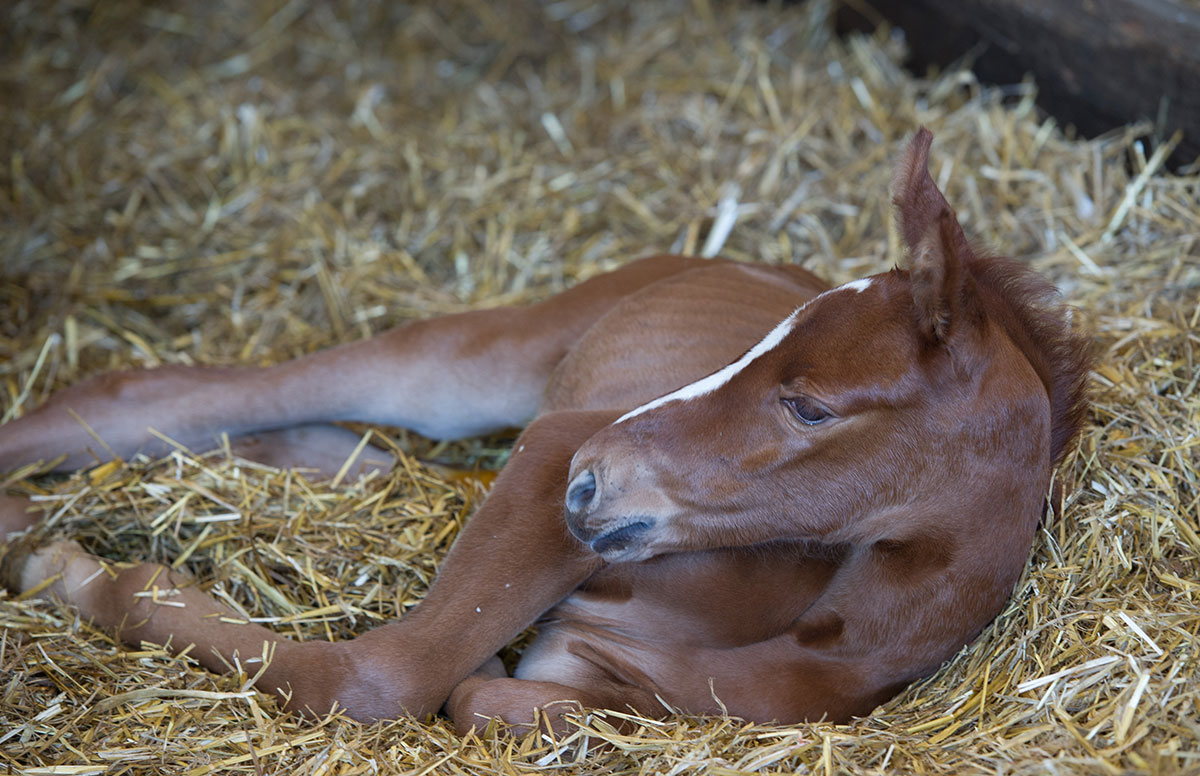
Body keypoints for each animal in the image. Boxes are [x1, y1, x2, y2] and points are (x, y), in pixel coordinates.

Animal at [0, 131, 1089, 734]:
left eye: (811, 405)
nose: (593, 473)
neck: (818, 633)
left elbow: (492, 697)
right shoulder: (544, 466)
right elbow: (381, 677)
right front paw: (77, 575)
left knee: (352, 452)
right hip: (480, 368)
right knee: (160, 395)